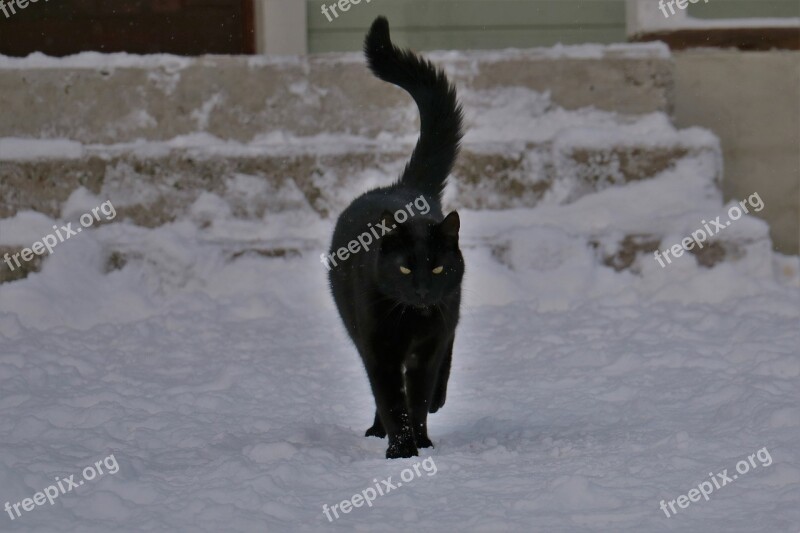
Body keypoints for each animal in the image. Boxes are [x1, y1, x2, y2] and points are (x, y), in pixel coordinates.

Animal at [324, 16, 462, 458]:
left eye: (435, 268)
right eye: (403, 268)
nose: (420, 291)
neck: (410, 321)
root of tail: (405, 187)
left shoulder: (427, 347)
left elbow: (415, 399)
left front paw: (421, 442)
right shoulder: (379, 348)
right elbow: (390, 398)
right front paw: (401, 450)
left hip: (448, 313)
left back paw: (438, 400)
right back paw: (376, 429)